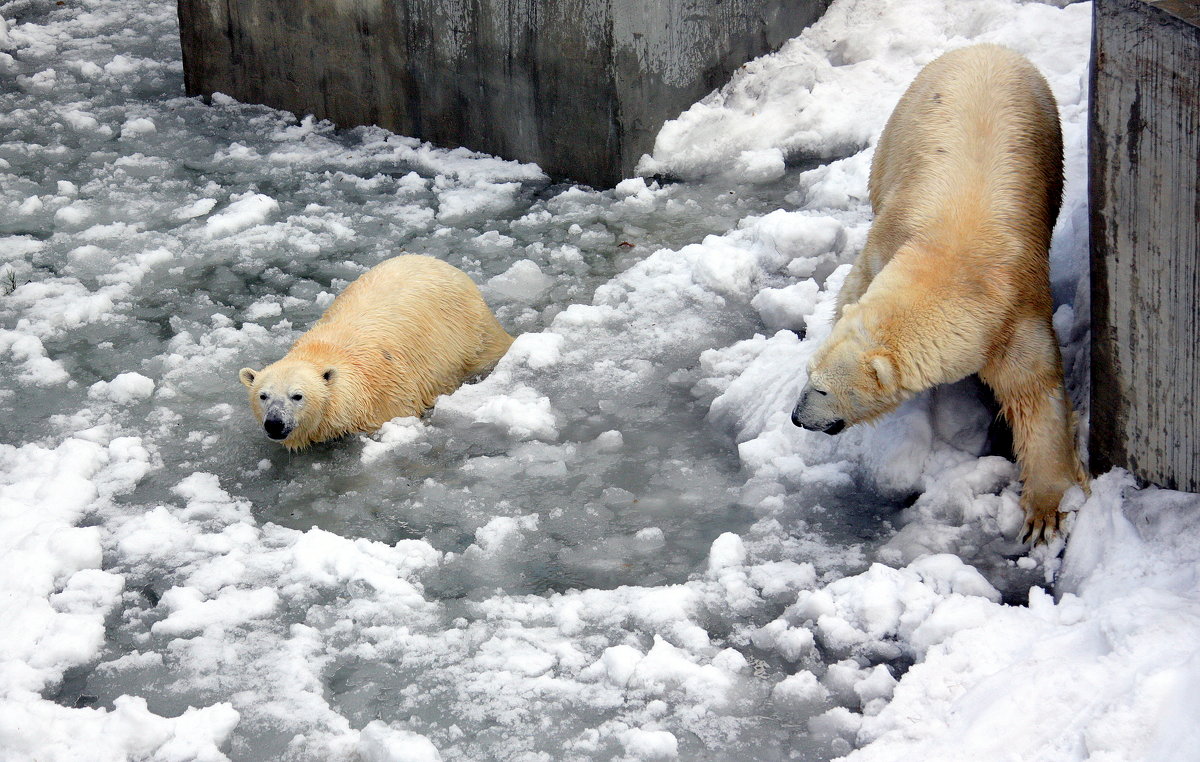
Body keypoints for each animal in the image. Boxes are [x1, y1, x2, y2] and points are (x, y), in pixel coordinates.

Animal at [237, 256, 511, 446]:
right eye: (263, 395)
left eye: (297, 396)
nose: (274, 423)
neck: (324, 351)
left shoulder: (389, 397)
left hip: (472, 330)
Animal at [796, 46, 1089, 542]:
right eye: (808, 374)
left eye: (820, 390)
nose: (798, 417)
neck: (954, 258)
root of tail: (985, 48)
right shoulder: (886, 244)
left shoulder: (1016, 310)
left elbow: (1035, 393)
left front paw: (1047, 514)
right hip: (902, 122)